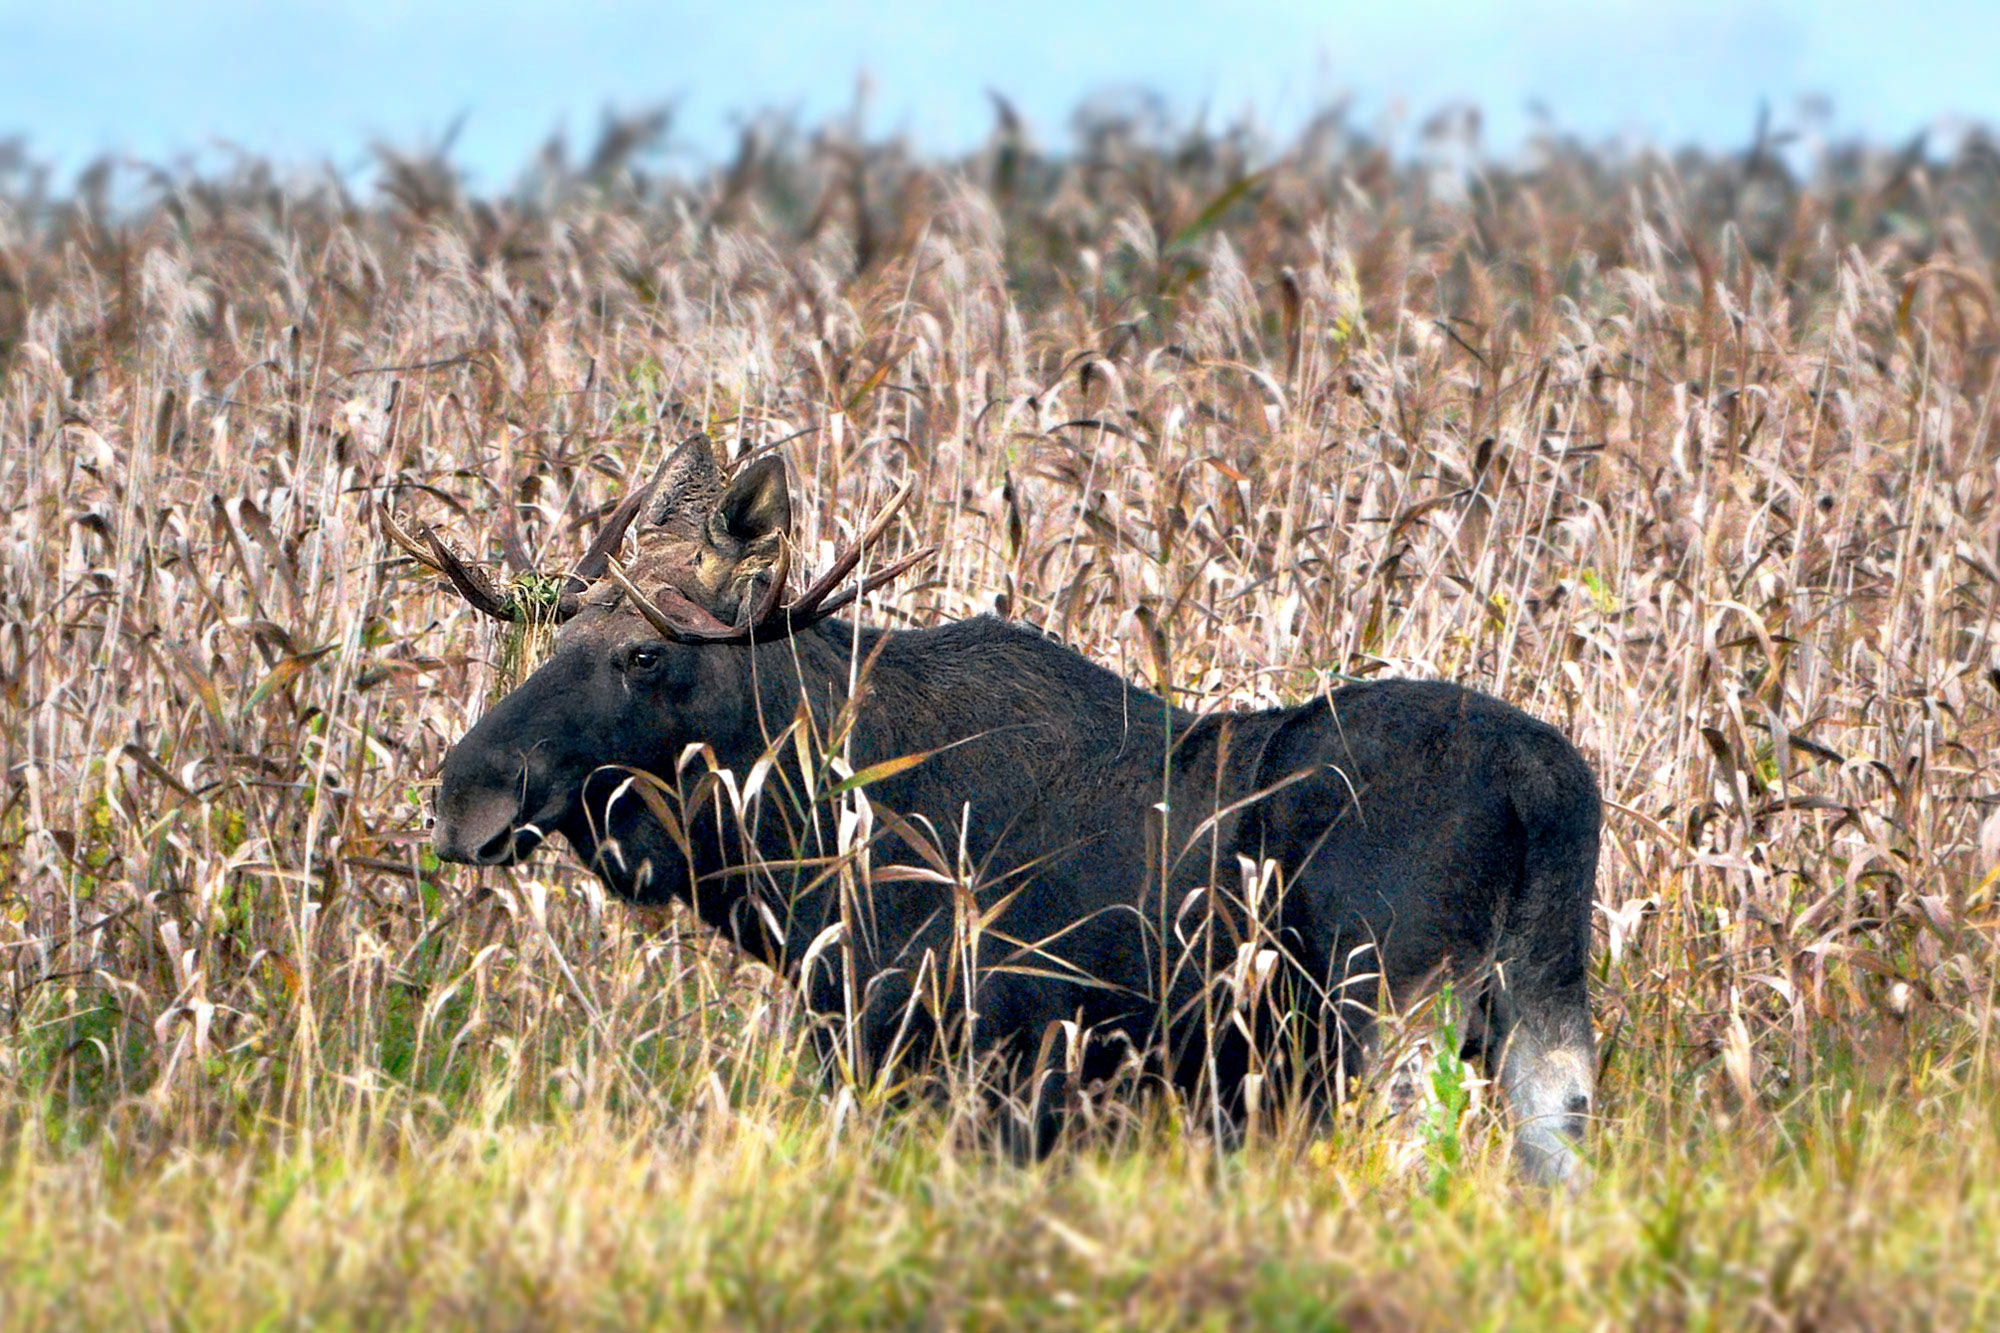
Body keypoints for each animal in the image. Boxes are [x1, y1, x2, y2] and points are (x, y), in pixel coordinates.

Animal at [418, 430, 1592, 1176]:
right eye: (558, 633)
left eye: (643, 653)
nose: (464, 795)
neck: (796, 839)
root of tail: (1552, 791)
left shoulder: (959, 1050)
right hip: (1538, 1017)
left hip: (1388, 1015)